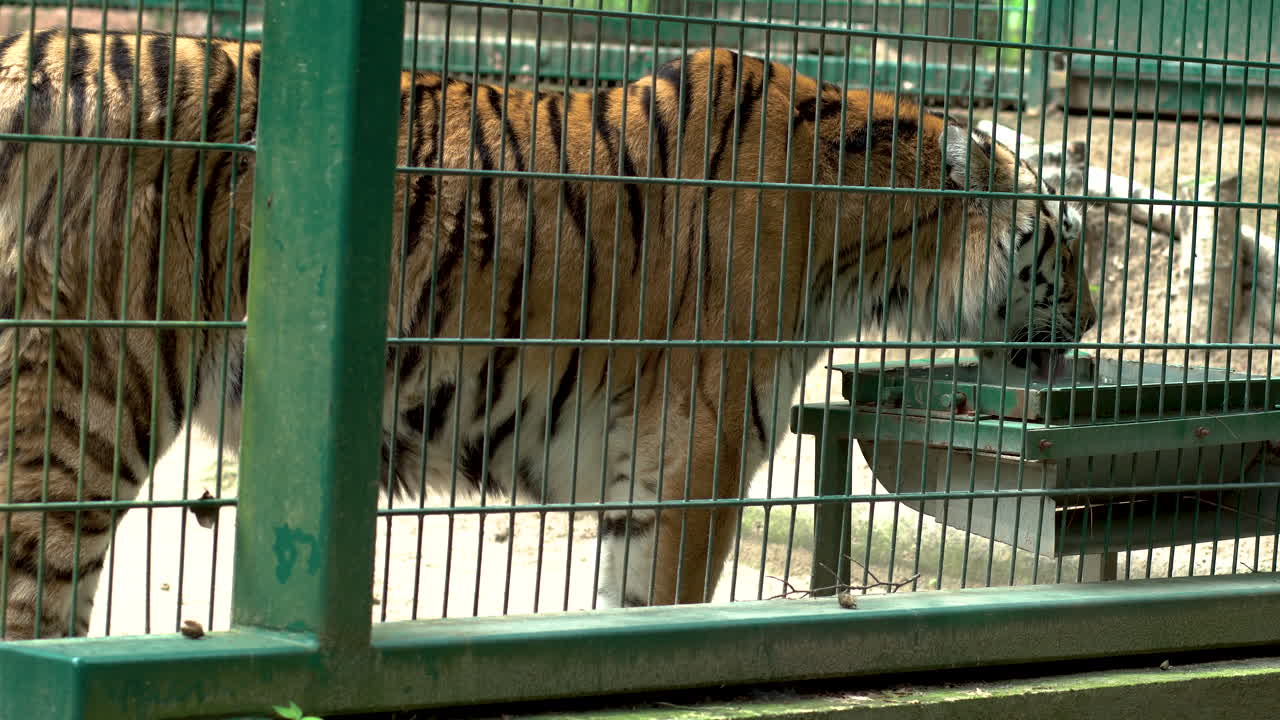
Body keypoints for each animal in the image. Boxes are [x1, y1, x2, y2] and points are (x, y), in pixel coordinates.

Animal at [0, 27, 1095, 640]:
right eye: (1070, 242)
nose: (1092, 319)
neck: (873, 249)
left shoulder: (644, 481)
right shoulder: (690, 465)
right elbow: (656, 619)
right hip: (87, 402)